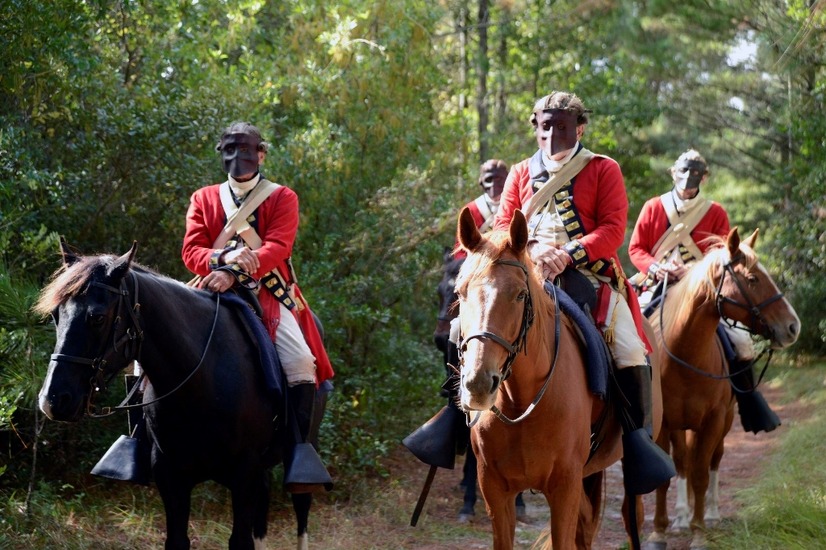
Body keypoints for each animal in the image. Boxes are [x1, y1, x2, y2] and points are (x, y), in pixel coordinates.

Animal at [36, 243, 318, 550]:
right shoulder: (171, 477)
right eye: (56, 315)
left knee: (302, 508)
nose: (53, 400)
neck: (202, 382)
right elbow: (178, 539)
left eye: (97, 317)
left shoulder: (245, 475)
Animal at [454, 209, 660, 548]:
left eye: (520, 294)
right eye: (460, 292)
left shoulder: (564, 488)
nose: (479, 384)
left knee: (632, 518)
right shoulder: (495, 489)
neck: (521, 403)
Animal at [644, 226, 800, 548]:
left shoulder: (713, 421)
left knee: (713, 460)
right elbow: (669, 474)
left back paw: (711, 514)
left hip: (723, 422)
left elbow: (702, 473)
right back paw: (681, 516)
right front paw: (659, 532)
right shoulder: (664, 423)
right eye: (752, 279)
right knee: (682, 461)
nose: (793, 327)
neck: (683, 354)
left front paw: (699, 531)